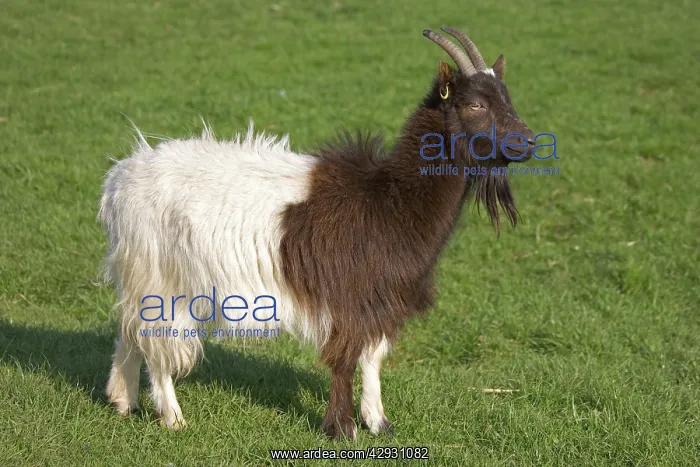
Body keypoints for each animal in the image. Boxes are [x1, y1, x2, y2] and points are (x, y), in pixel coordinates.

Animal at [99, 27, 536, 440]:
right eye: (475, 103)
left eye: (507, 97)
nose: (530, 142)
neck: (388, 200)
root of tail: (121, 177)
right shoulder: (348, 295)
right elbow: (344, 359)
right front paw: (342, 428)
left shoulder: (380, 296)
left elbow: (373, 357)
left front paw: (378, 422)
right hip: (161, 276)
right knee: (157, 341)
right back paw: (172, 417)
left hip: (138, 275)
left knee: (130, 331)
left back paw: (122, 400)